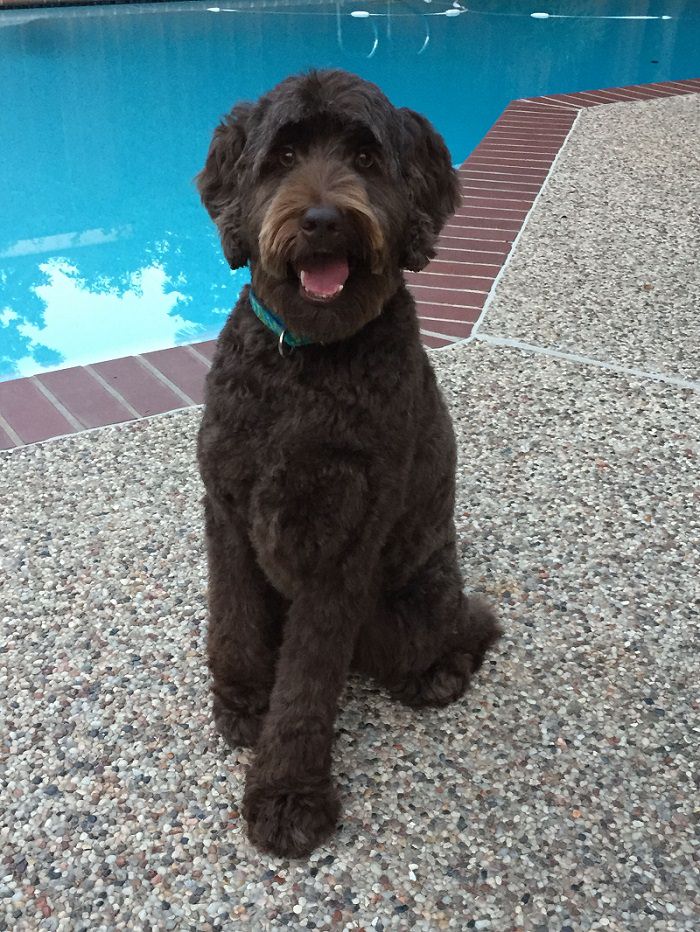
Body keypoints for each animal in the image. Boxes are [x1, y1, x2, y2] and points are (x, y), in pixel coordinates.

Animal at [197, 71, 500, 860]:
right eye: (284, 153)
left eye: (365, 157)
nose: (324, 221)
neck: (307, 361)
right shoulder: (228, 513)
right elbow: (234, 617)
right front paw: (241, 699)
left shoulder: (341, 547)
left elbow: (307, 681)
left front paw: (287, 797)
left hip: (413, 606)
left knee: (466, 629)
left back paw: (442, 671)